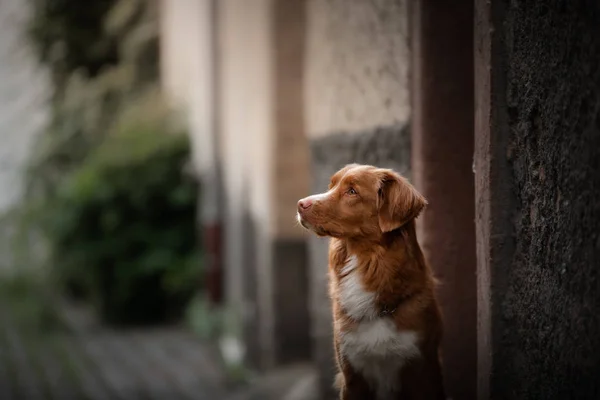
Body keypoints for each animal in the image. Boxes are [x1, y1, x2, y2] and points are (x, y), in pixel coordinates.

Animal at [296, 163, 446, 400]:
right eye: (332, 185)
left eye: (352, 191)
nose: (301, 204)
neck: (366, 263)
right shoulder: (352, 374)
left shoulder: (423, 370)